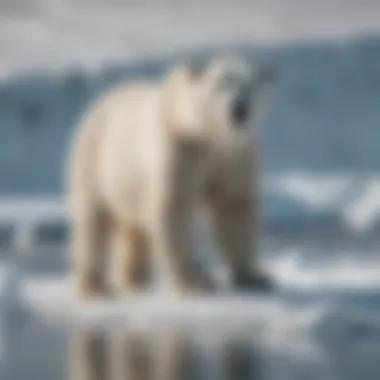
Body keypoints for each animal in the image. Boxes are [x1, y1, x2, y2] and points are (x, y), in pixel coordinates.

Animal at [67, 55, 276, 298]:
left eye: (250, 87)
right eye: (220, 84)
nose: (240, 108)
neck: (209, 137)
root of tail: (97, 104)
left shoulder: (237, 155)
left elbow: (233, 206)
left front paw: (254, 276)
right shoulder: (181, 148)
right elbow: (176, 208)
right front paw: (195, 281)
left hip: (126, 183)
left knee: (134, 230)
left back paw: (134, 280)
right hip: (96, 163)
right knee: (94, 222)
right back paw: (95, 287)